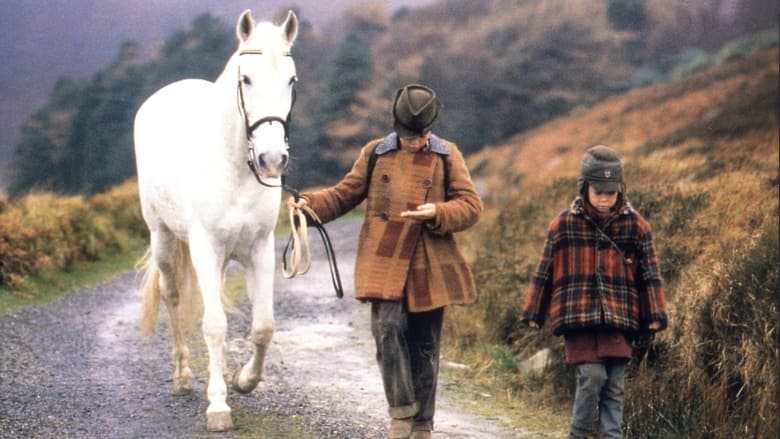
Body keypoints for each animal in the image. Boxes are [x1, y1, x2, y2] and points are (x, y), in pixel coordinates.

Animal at [134, 8, 298, 432]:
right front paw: (218, 407)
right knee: (172, 296)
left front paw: (243, 381)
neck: (235, 168)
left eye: (291, 79)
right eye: (246, 79)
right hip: (163, 237)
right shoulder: (205, 249)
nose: (272, 160)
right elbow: (213, 325)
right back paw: (183, 377)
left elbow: (263, 326)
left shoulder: (260, 249)